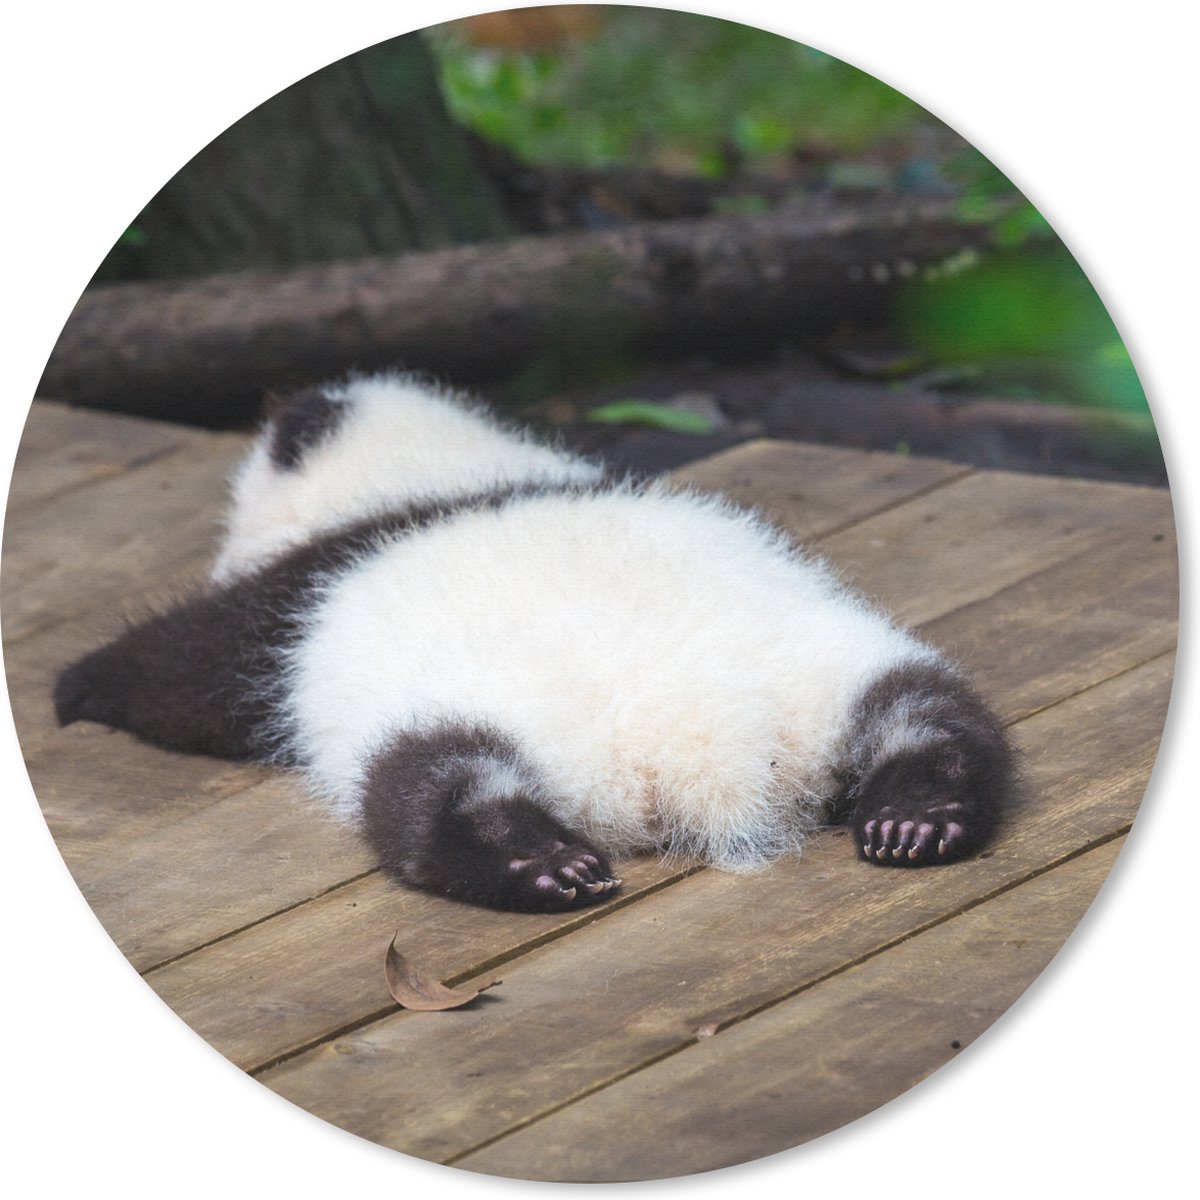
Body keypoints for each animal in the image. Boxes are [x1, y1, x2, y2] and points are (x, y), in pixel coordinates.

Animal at [55, 372, 1013, 912]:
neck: (437, 473)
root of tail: (702, 746)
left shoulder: (296, 598)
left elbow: (189, 674)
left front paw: (78, 687)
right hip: (830, 665)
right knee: (931, 715)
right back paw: (917, 814)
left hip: (460, 716)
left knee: (431, 787)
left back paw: (536, 864)